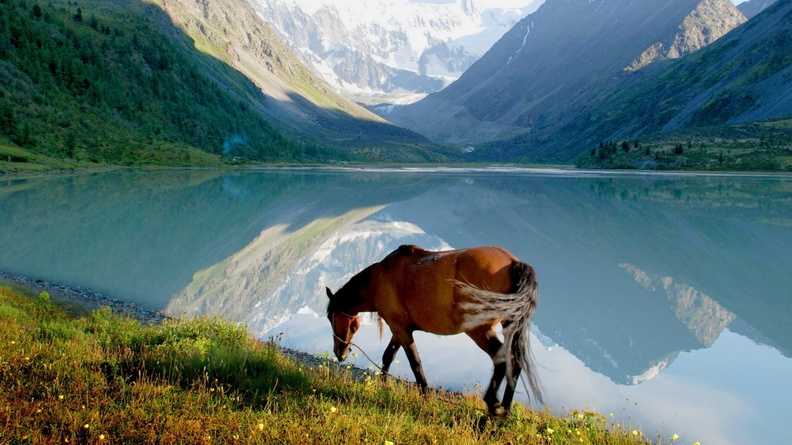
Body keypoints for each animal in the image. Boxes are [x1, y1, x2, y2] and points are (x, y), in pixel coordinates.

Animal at [325, 244, 543, 416]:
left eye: (330, 317)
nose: (339, 353)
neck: (379, 279)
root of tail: (513, 263)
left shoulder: (401, 330)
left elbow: (415, 363)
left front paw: (424, 396)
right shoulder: (399, 329)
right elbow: (388, 356)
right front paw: (383, 385)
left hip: (479, 330)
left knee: (502, 359)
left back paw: (492, 409)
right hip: (509, 326)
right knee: (515, 362)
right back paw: (504, 411)